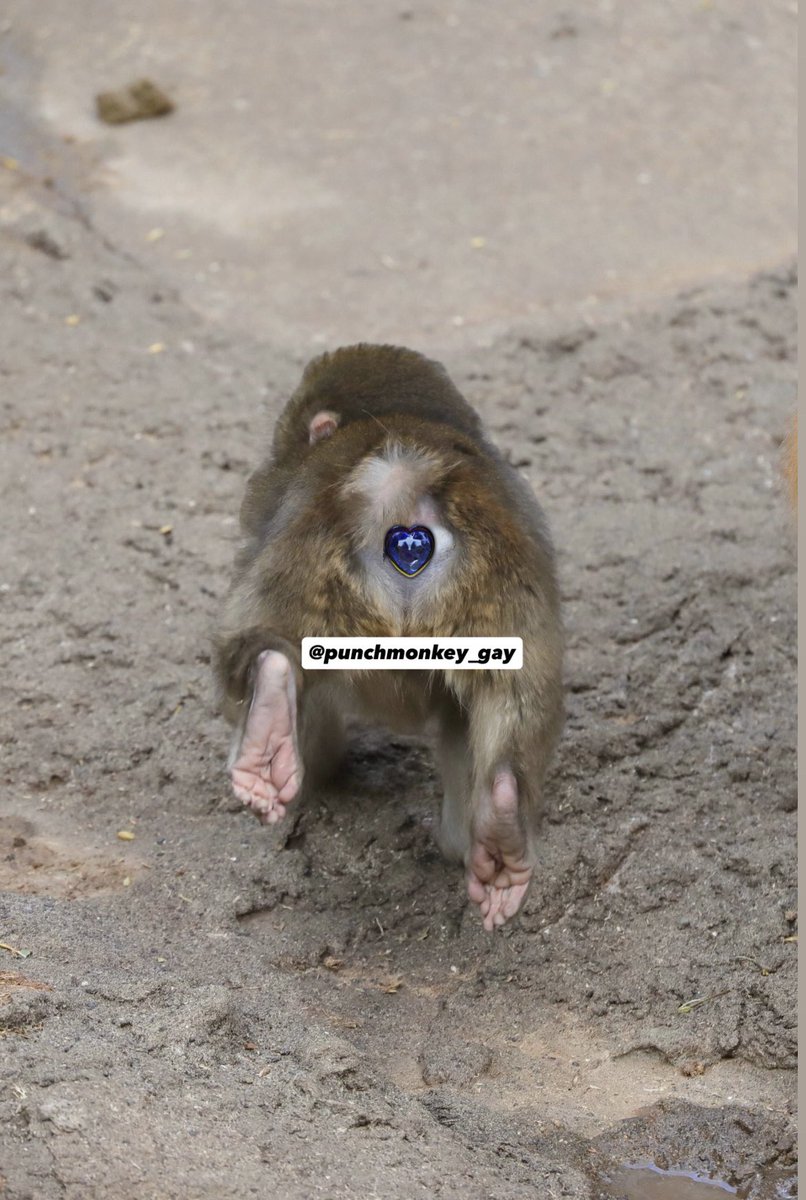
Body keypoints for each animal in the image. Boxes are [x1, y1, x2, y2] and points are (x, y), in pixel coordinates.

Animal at [213, 344, 564, 931]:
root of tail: (401, 484)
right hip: (498, 593)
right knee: (507, 700)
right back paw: (501, 822)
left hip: (305, 568)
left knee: (269, 646)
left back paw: (270, 739)